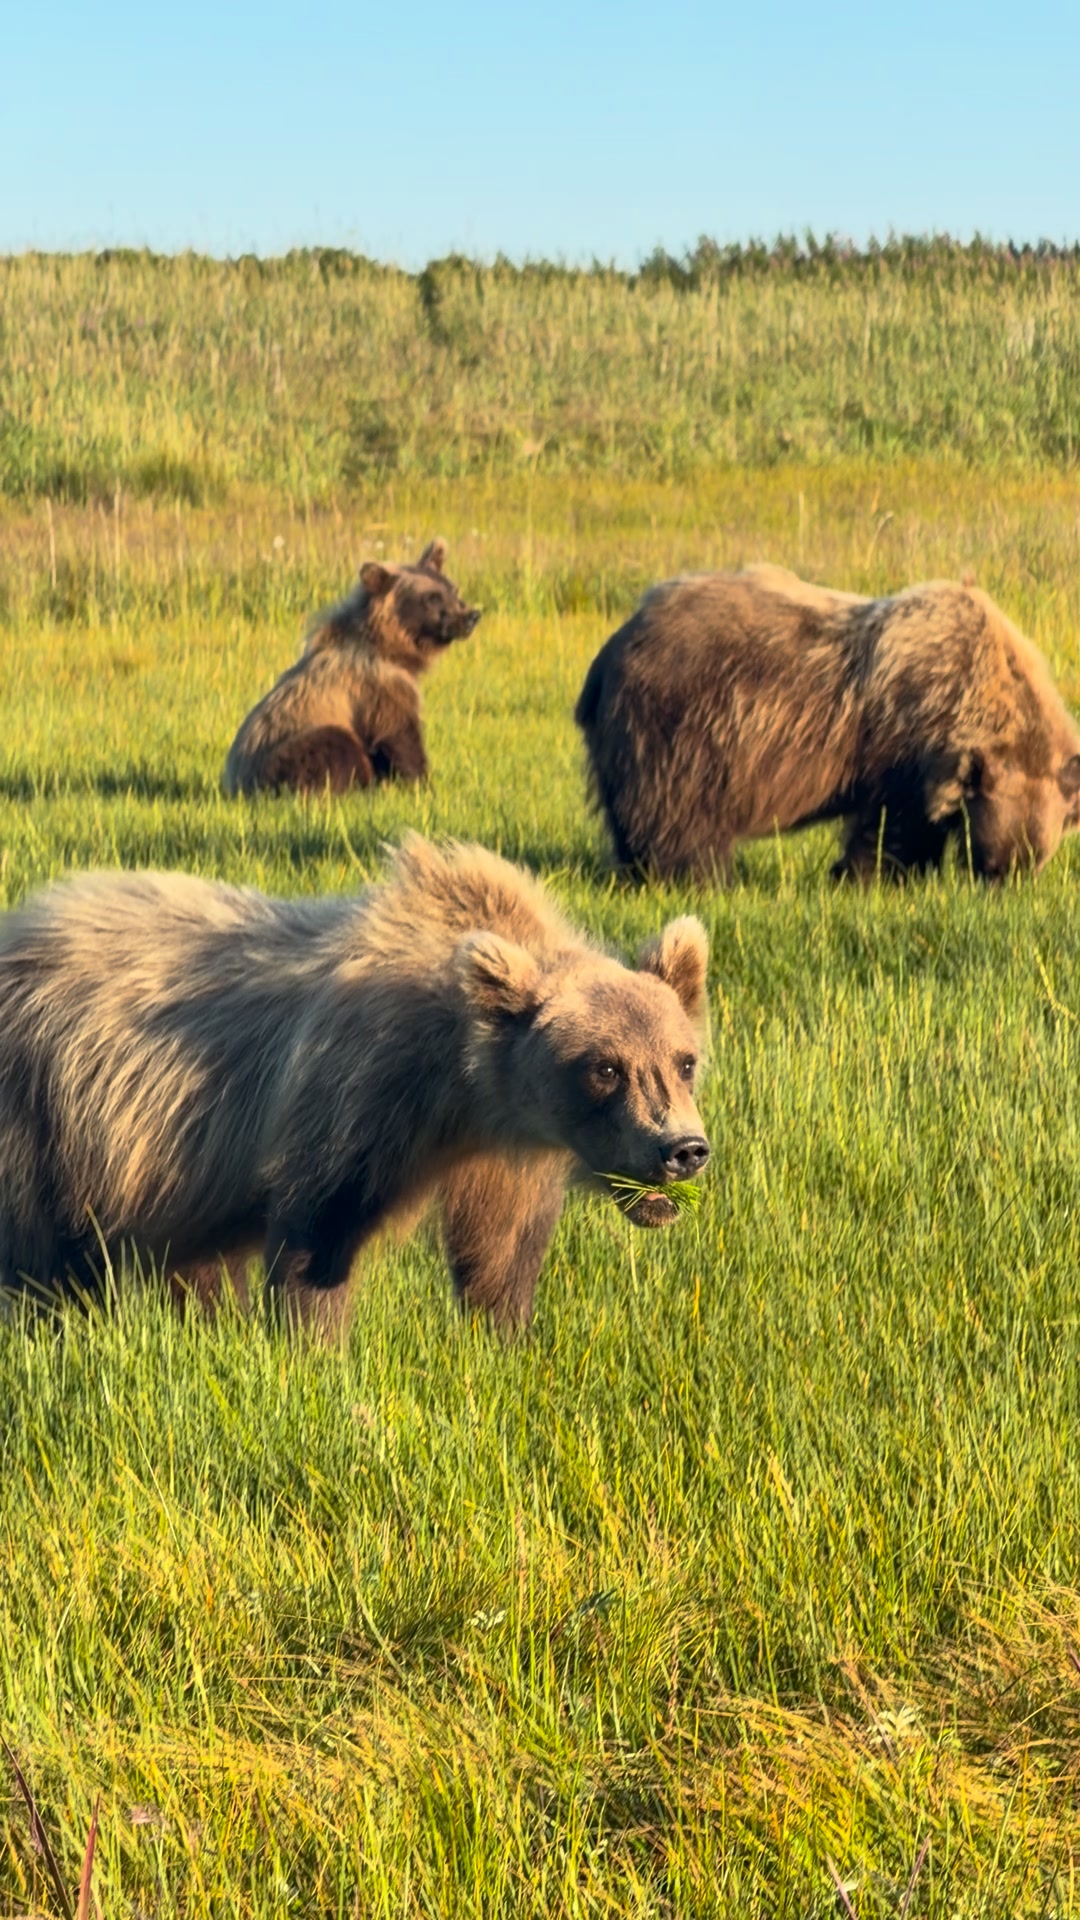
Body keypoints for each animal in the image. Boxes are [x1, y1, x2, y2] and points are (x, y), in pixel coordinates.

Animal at [0, 836, 710, 1335]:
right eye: (605, 1067)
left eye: (683, 1060)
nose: (682, 1148)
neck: (463, 1087)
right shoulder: (361, 1088)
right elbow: (320, 1227)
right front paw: (312, 1346)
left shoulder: (508, 1146)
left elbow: (501, 1248)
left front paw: (503, 1333)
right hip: (46, 1112)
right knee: (40, 1257)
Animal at [222, 538, 480, 796]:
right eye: (432, 597)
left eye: (453, 590)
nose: (472, 616)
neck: (388, 649)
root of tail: (234, 787)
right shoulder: (376, 688)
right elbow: (400, 737)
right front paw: (423, 785)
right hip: (283, 755)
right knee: (333, 743)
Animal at [575, 564, 1080, 882]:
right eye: (993, 858)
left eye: (1034, 861)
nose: (1002, 878)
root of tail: (611, 649)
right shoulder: (900, 741)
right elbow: (892, 825)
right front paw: (869, 875)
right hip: (680, 725)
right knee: (676, 814)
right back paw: (691, 875)